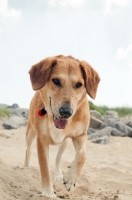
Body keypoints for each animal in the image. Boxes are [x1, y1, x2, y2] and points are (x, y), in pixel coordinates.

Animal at [24, 54, 100, 197]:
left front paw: (71, 179)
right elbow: (44, 167)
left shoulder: (80, 135)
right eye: (56, 81)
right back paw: (24, 168)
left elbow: (83, 154)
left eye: (79, 84)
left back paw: (59, 174)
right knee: (28, 150)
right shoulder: (41, 140)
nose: (66, 112)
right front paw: (48, 193)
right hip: (30, 134)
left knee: (58, 158)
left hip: (64, 143)